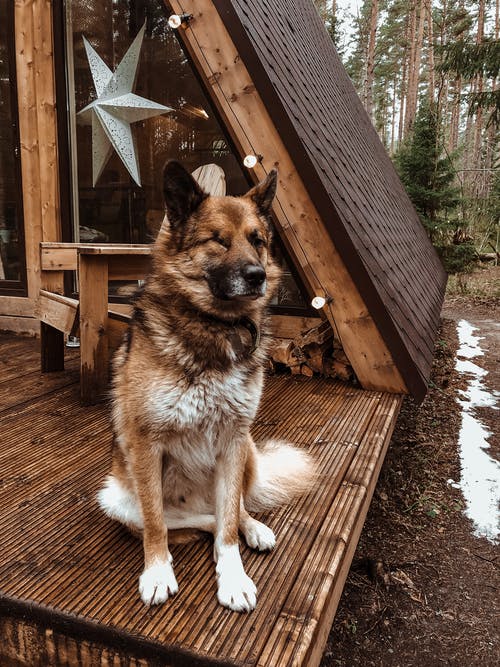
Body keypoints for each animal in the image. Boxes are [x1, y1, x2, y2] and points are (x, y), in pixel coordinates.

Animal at [97, 160, 314, 612]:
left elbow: (229, 522)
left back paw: (252, 527)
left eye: (257, 240)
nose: (258, 276)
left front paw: (233, 578)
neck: (215, 325)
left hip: (246, 449)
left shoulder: (232, 439)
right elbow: (157, 525)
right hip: (115, 497)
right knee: (195, 521)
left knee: (228, 512)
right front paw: (158, 572)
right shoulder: (146, 445)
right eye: (218, 240)